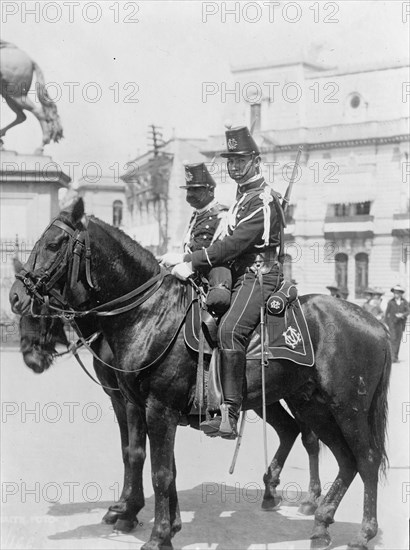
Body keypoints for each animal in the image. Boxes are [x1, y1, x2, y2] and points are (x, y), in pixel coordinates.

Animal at [10, 199, 390, 550]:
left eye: (54, 243)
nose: (16, 296)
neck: (151, 314)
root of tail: (375, 323)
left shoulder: (154, 409)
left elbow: (155, 468)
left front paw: (151, 531)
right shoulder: (143, 406)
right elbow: (157, 464)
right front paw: (163, 525)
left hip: (347, 410)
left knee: (366, 459)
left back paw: (361, 532)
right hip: (312, 405)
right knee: (339, 456)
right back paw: (320, 522)